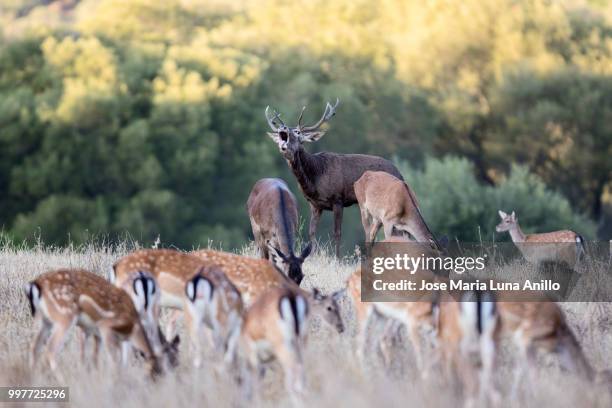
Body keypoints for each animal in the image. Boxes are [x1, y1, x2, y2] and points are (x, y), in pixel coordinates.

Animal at [26, 270, 179, 378]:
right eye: (172, 360)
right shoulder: (98, 328)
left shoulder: (95, 331)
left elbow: (97, 356)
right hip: (64, 317)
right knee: (50, 348)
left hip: (45, 320)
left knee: (35, 346)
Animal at [266, 99, 404, 256]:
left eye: (298, 133)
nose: (283, 128)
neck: (315, 178)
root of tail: (400, 174)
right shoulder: (315, 204)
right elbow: (311, 232)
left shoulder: (338, 199)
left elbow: (337, 233)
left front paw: (337, 257)